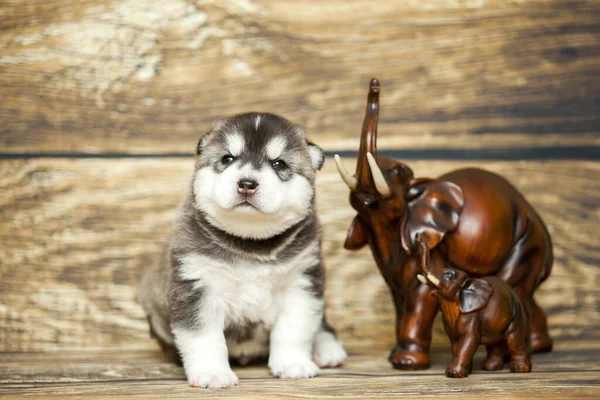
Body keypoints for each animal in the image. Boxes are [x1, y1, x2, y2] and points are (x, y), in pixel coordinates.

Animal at [139, 111, 346, 388]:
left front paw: (293, 363)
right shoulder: (196, 287)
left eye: (279, 164)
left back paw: (327, 349)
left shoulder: (301, 284)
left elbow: (294, 330)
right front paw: (212, 373)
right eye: (227, 158)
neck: (251, 243)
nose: (247, 183)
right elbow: (204, 338)